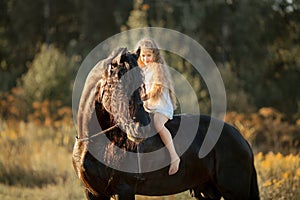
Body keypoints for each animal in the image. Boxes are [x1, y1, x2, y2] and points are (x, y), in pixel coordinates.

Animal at [71, 47, 258, 199]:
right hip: (208, 192)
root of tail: (241, 138)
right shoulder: (93, 193)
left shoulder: (123, 190)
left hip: (234, 193)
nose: (141, 129)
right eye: (122, 84)